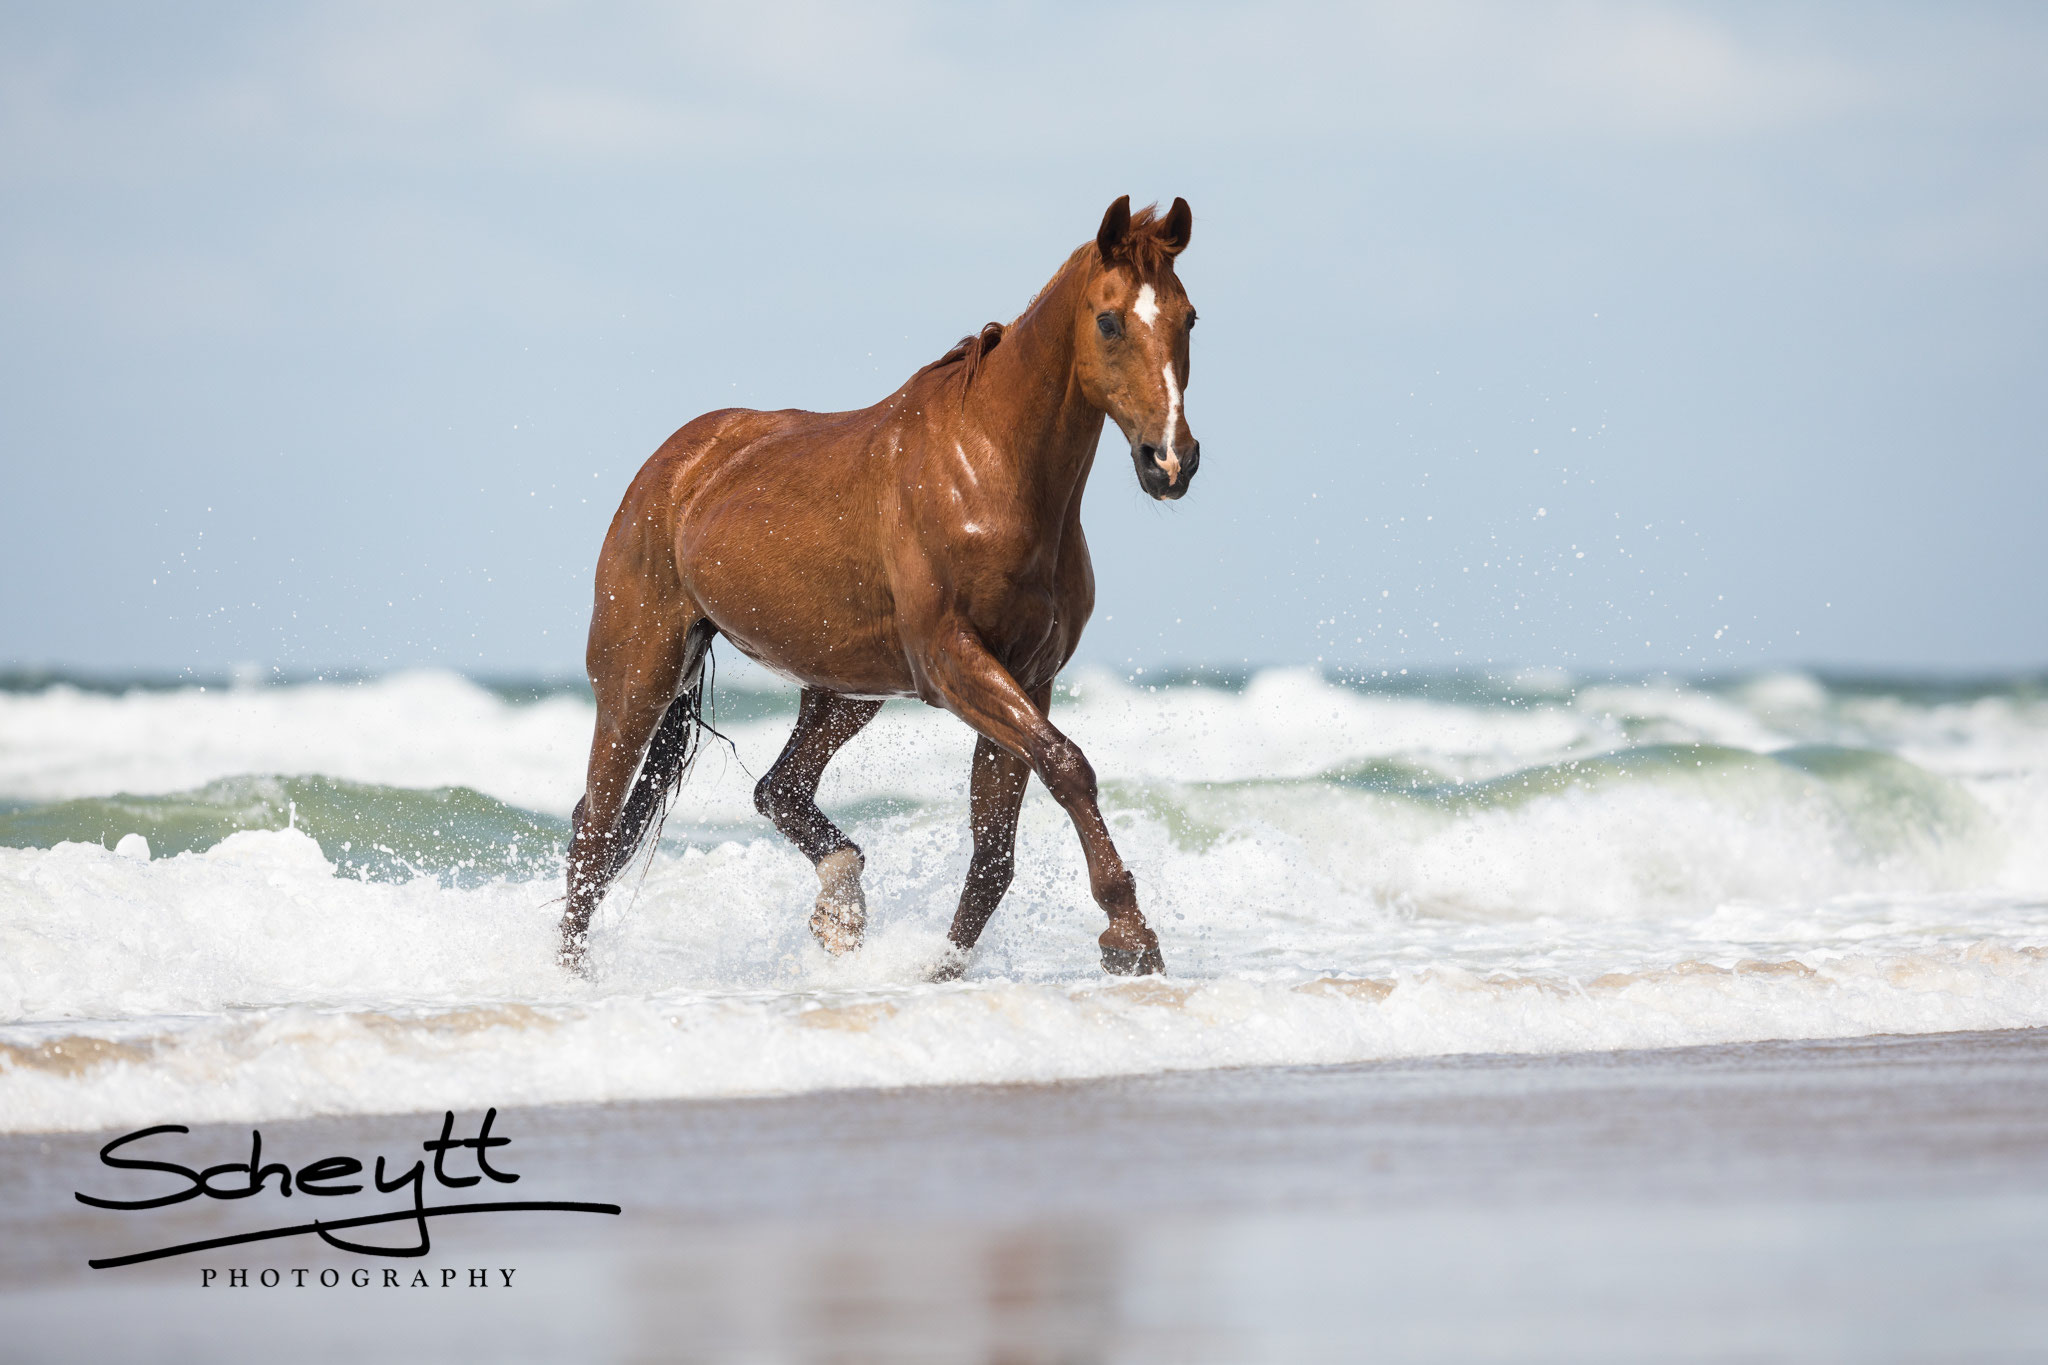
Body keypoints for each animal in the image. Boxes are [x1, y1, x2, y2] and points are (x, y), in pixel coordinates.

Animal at [561, 195, 1200, 981]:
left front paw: (942, 970)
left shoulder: (1029, 675)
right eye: (1109, 321)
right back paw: (571, 973)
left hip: (846, 686)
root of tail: (674, 464)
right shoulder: (953, 660)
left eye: (1189, 318)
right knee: (595, 828)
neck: (991, 468)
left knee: (775, 788)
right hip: (639, 672)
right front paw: (1130, 937)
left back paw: (840, 909)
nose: (1170, 461)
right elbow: (1067, 766)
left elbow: (996, 848)